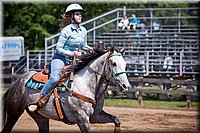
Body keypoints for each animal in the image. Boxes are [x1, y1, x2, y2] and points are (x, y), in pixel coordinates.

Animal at [2, 46, 132, 132]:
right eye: (114, 63)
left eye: (125, 64)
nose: (126, 86)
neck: (88, 86)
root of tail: (18, 82)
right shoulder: (82, 119)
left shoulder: (96, 116)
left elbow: (116, 119)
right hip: (14, 114)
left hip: (40, 117)